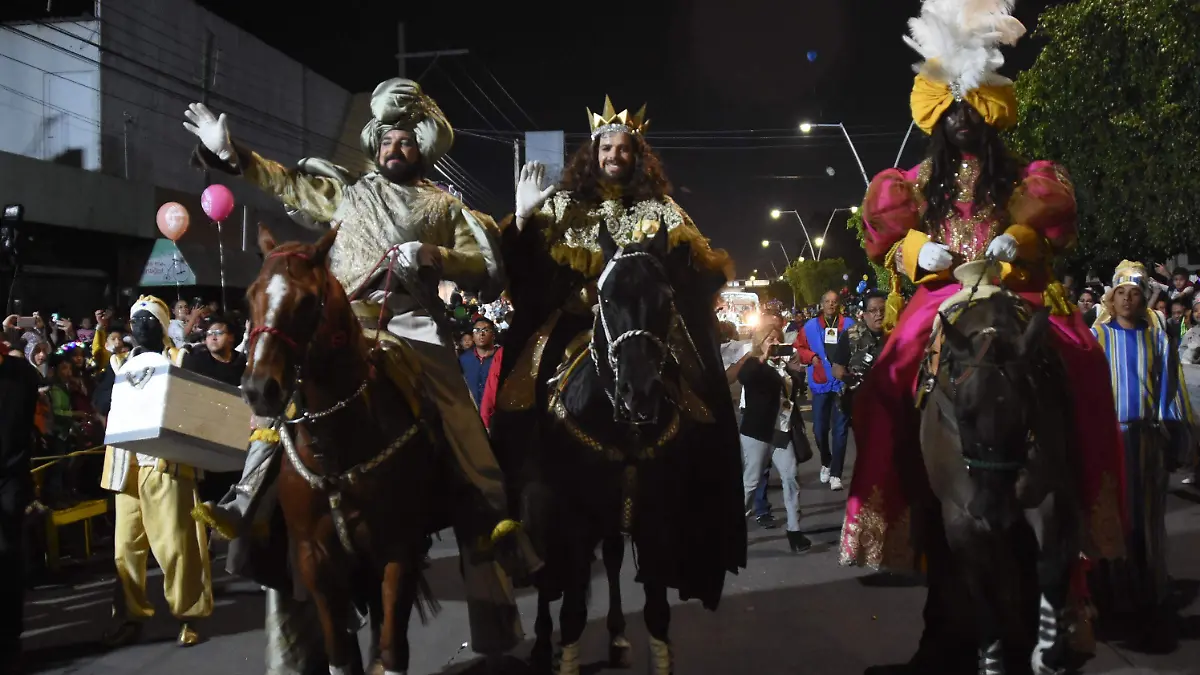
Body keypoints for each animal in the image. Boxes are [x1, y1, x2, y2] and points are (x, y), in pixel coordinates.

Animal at [241, 224, 441, 675]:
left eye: (306, 301)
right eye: (250, 295)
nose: (260, 389)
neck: (336, 449)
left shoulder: (398, 549)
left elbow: (392, 649)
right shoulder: (315, 560)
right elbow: (340, 657)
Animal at [526, 221, 740, 675]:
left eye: (667, 298)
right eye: (606, 298)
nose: (638, 393)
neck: (620, 427)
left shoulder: (655, 517)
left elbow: (657, 612)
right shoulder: (576, 518)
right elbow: (572, 612)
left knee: (610, 558)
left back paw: (617, 635)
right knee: (547, 575)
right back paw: (541, 641)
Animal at [920, 283, 1081, 675]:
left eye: (1024, 417)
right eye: (963, 416)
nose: (992, 511)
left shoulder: (1045, 490)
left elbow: (1050, 565)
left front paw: (1048, 651)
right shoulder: (959, 516)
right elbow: (982, 591)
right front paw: (992, 660)